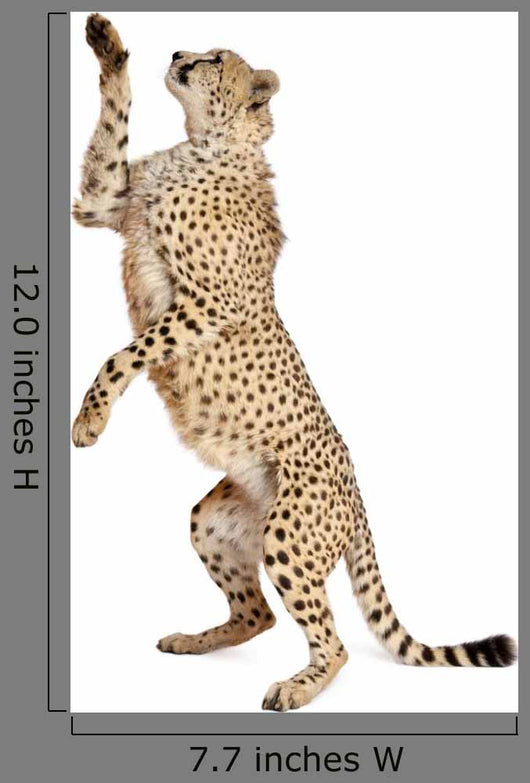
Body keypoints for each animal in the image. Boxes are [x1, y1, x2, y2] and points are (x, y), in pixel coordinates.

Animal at [72, 14, 517, 711]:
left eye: (215, 57)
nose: (177, 53)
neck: (207, 145)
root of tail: (358, 498)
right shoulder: (102, 202)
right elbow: (112, 119)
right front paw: (106, 41)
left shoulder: (211, 305)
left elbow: (122, 354)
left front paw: (89, 421)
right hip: (216, 521)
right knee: (258, 615)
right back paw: (195, 641)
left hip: (289, 532)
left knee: (332, 643)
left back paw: (297, 687)